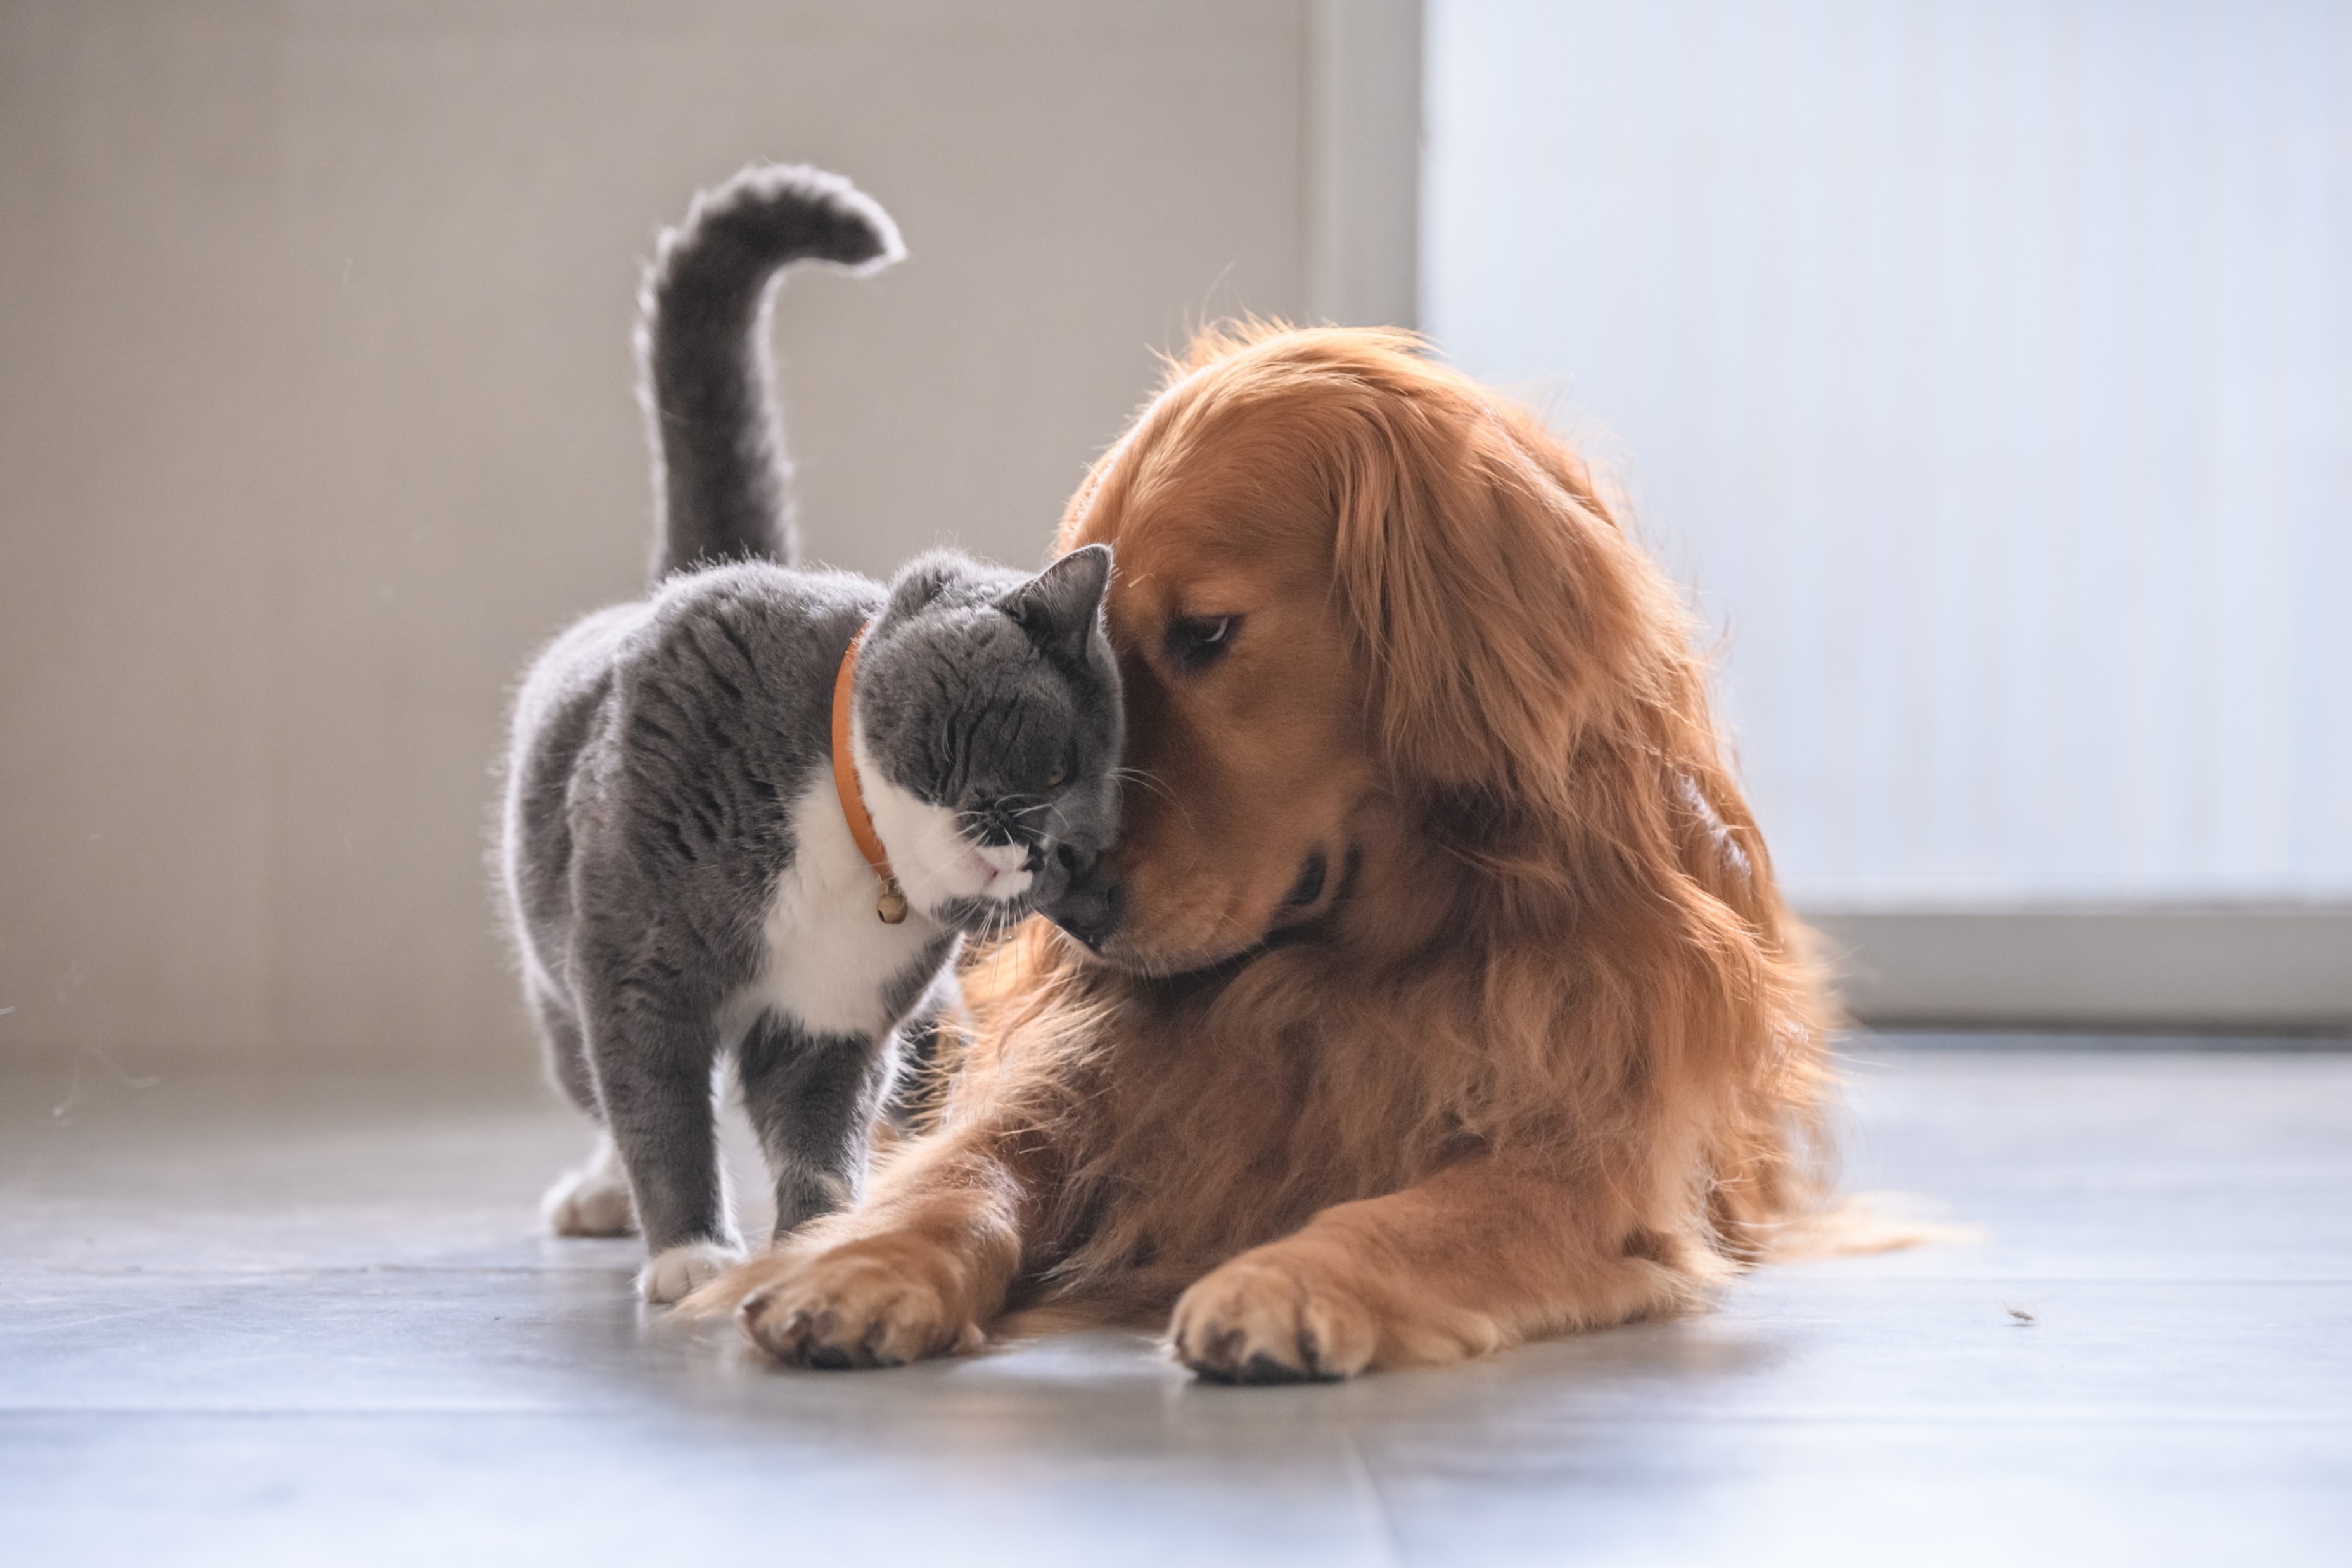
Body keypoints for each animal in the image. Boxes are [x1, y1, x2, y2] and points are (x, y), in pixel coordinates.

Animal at [501, 165, 1124, 1307]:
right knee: (596, 1082)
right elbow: (659, 1106)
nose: (1047, 852)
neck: (847, 842)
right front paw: (690, 1252)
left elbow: (816, 1131)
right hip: (556, 967)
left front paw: (822, 1240)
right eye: (1058, 761)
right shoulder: (636, 966)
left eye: (1086, 850)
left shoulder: (835, 1022)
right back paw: (602, 1195)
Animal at [696, 324, 1834, 1382]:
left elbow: (1421, 1213)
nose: (1070, 909)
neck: (1346, 967)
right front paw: (858, 1262)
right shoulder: (1078, 1084)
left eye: (1206, 632)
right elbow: (963, 1170)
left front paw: (1287, 1280)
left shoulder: (1590, 1157)